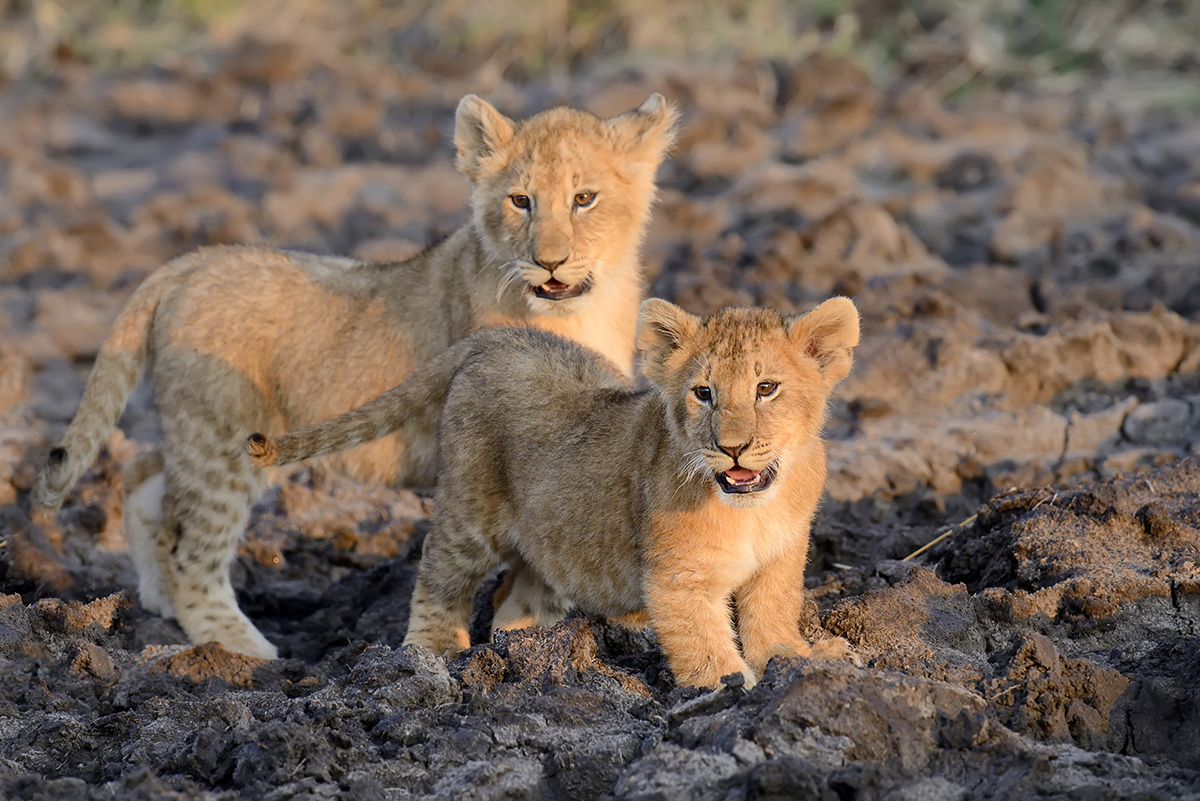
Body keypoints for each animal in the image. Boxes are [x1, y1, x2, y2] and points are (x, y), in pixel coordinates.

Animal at [30, 93, 679, 659]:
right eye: (520, 201)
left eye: (585, 198)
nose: (549, 262)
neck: (581, 309)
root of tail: (191, 261)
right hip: (223, 438)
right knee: (194, 545)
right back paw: (239, 649)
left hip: (199, 429)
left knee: (142, 473)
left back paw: (157, 601)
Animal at [245, 297, 861, 688]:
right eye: (703, 393)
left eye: (766, 388)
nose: (732, 448)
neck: (753, 507)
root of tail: (499, 336)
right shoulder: (677, 578)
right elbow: (703, 640)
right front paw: (733, 688)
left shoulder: (781, 558)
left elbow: (773, 613)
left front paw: (795, 662)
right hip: (470, 512)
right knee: (438, 572)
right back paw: (433, 657)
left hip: (552, 542)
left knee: (514, 600)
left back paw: (528, 654)